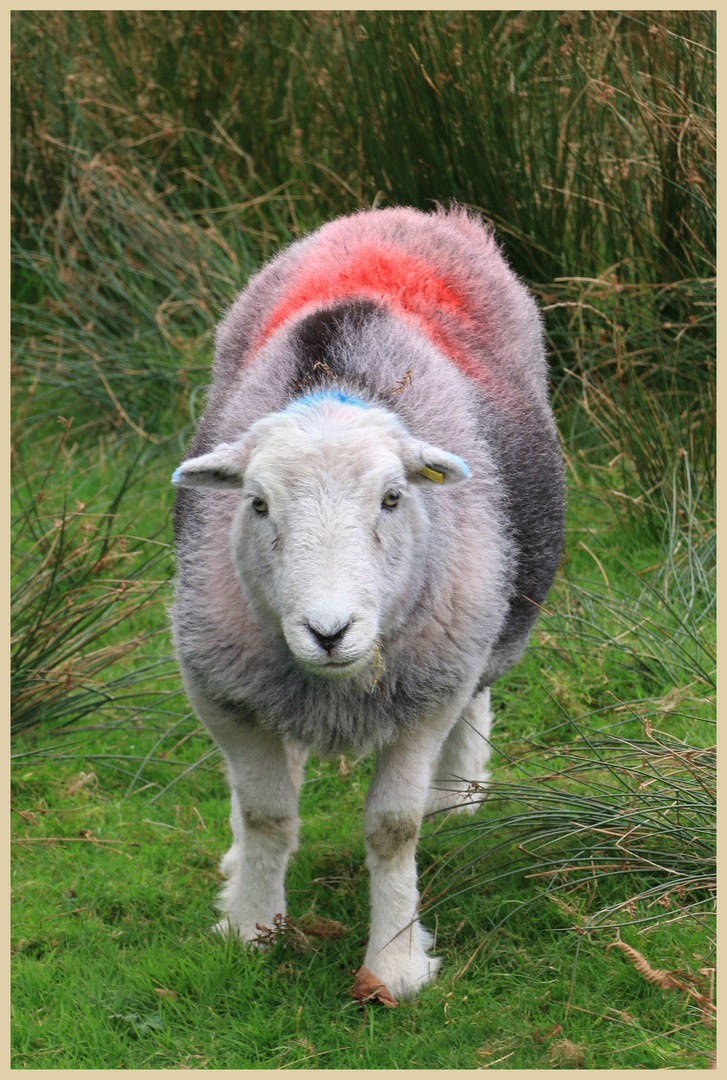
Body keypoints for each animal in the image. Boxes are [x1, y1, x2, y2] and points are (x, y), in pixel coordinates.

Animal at [172, 206, 566, 997]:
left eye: (391, 498)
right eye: (256, 504)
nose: (329, 631)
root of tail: (406, 214)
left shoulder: (428, 691)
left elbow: (393, 830)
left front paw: (394, 963)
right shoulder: (222, 691)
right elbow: (266, 813)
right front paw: (251, 926)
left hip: (479, 614)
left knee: (478, 698)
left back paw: (458, 798)